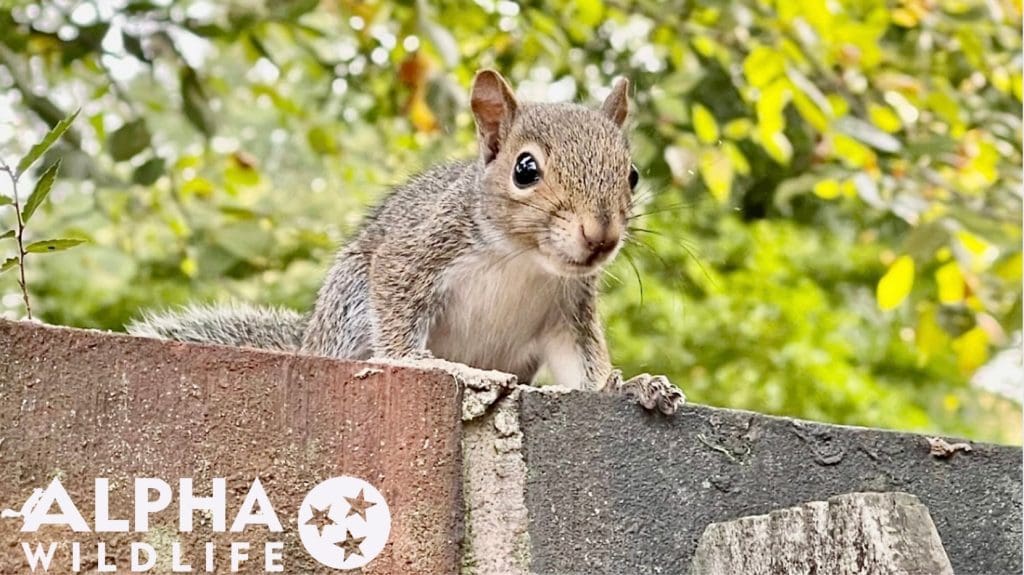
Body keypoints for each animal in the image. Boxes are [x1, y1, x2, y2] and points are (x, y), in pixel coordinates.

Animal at [128, 69, 685, 415]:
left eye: (632, 175)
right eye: (525, 169)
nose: (601, 235)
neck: (523, 260)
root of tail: (309, 342)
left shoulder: (567, 312)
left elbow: (583, 364)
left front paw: (632, 384)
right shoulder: (417, 252)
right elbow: (397, 310)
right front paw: (424, 362)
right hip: (350, 303)